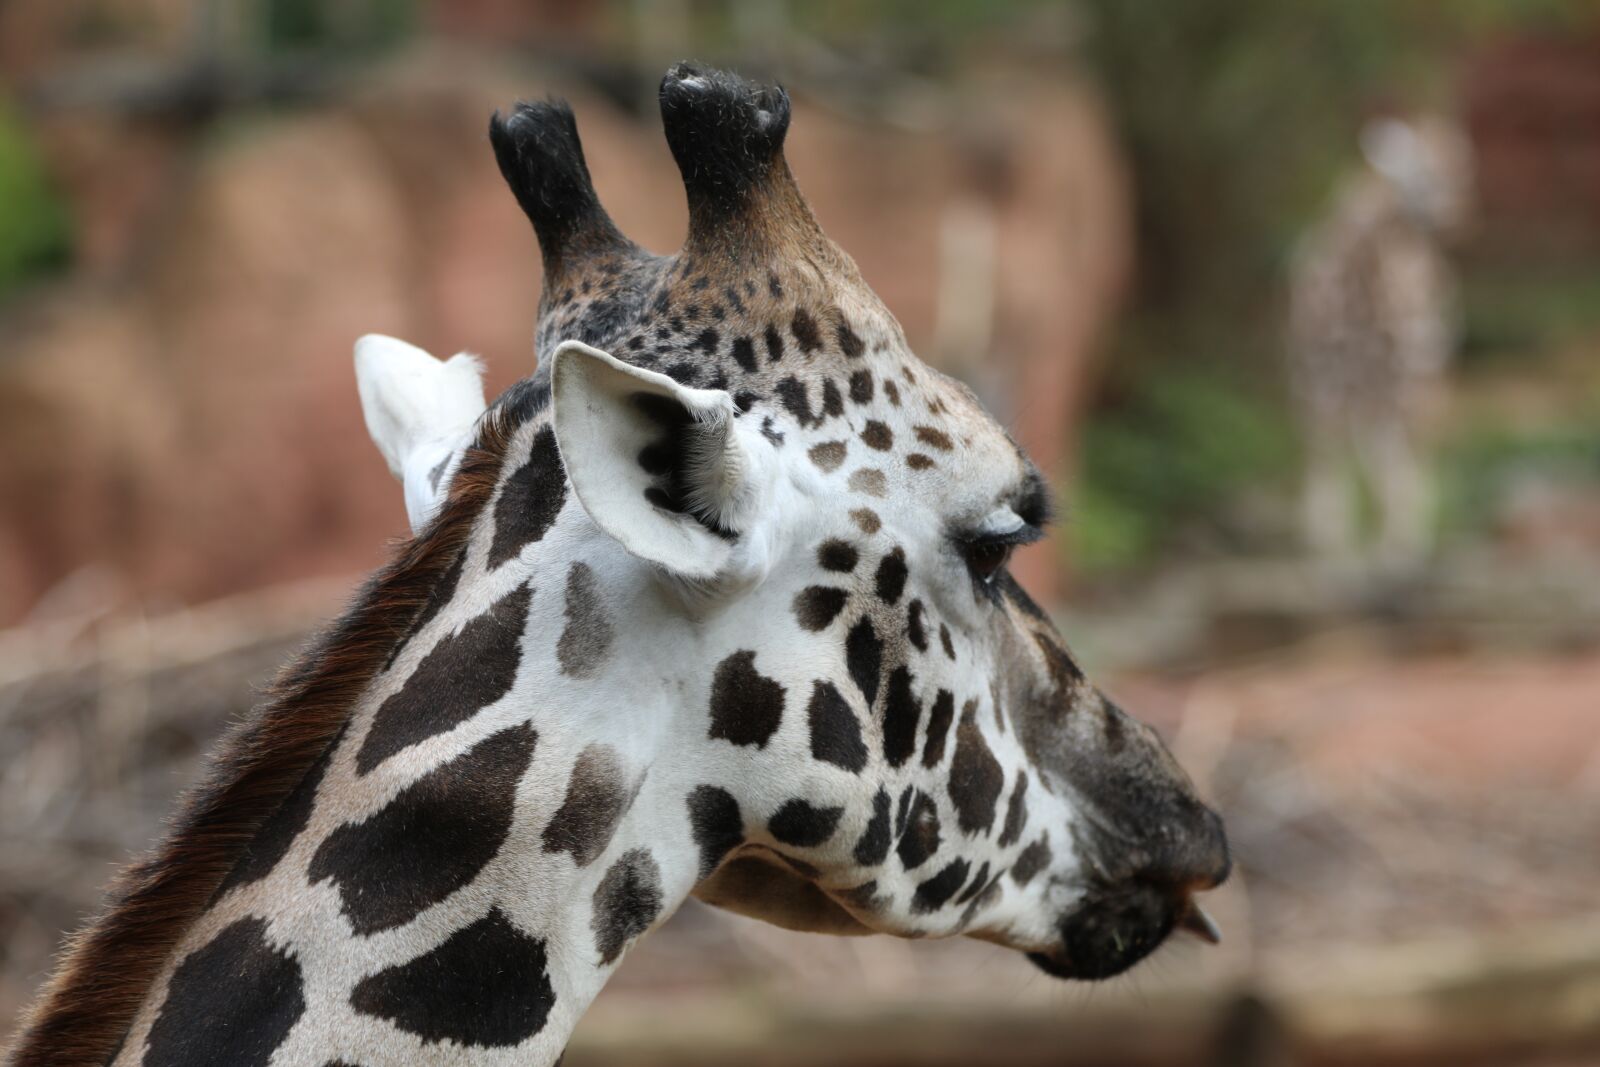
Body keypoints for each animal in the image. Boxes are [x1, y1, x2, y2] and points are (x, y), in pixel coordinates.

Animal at [1288, 114, 1472, 567]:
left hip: (1412, 370)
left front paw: (1401, 544)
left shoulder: (1412, 367)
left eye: (1465, 171)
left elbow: (1397, 450)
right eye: (1419, 175)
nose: (1456, 217)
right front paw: (1330, 544)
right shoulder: (1319, 373)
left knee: (1395, 441)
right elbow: (1328, 447)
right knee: (1357, 441)